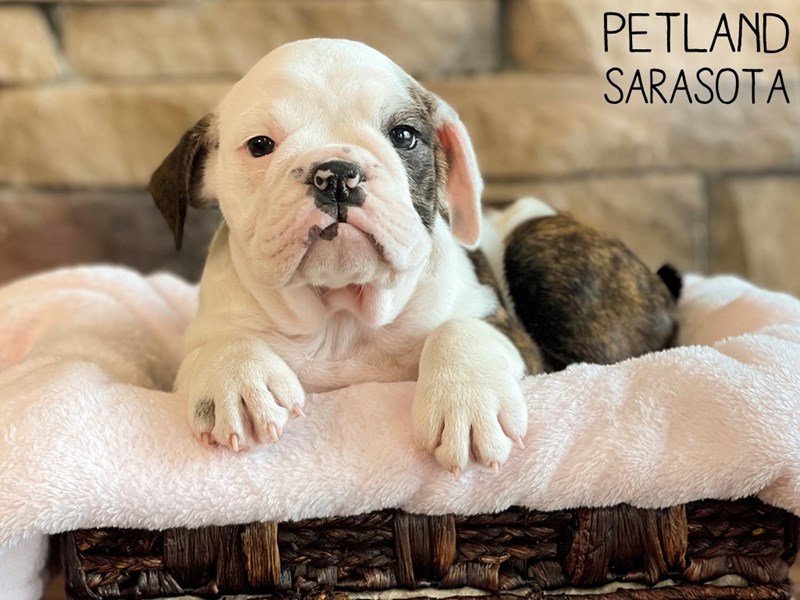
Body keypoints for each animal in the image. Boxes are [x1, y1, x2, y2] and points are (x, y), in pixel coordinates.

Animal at [149, 39, 679, 476]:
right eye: (260, 146)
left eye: (404, 136)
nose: (335, 173)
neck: (342, 315)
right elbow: (217, 345)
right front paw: (237, 380)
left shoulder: (507, 333)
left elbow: (461, 328)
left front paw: (465, 402)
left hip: (539, 250)